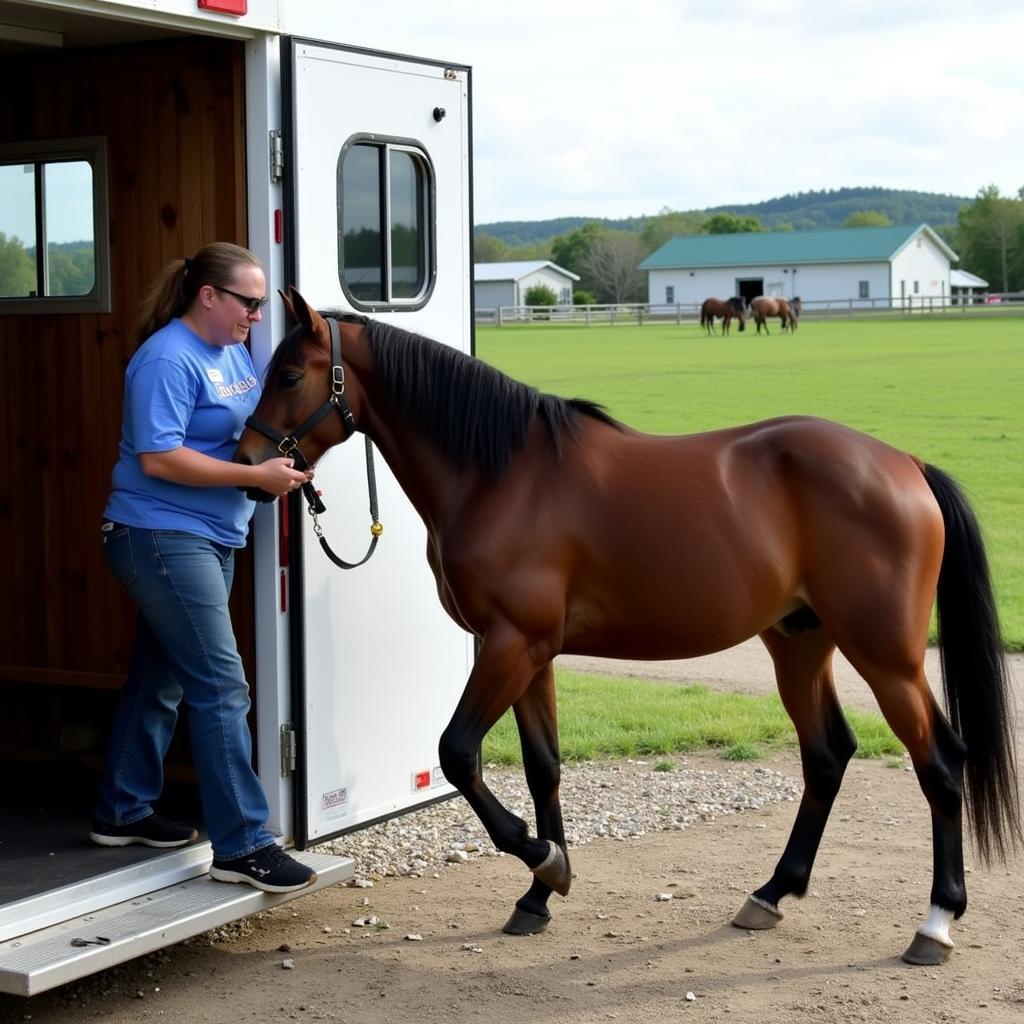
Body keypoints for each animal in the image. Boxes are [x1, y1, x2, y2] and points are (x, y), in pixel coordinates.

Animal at [235, 290, 1019, 966]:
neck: (503, 476)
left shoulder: (512, 645)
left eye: (290, 373)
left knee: (940, 762)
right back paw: (771, 893)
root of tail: (905, 464)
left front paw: (543, 860)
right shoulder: (529, 652)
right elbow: (543, 766)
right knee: (828, 756)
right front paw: (540, 891)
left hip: (886, 655)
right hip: (799, 642)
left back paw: (936, 922)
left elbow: (458, 753)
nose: (247, 463)